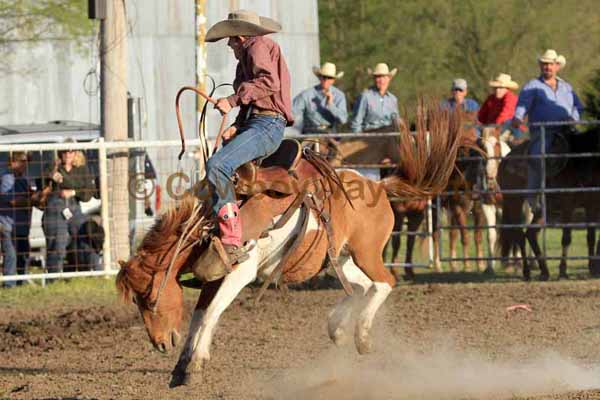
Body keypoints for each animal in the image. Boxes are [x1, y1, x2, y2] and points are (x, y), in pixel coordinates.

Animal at [115, 104, 466, 386]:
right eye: (138, 301)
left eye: (149, 298)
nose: (161, 343)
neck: (208, 221)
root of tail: (377, 185)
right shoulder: (213, 276)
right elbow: (200, 316)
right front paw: (182, 367)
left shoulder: (240, 271)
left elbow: (213, 312)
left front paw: (195, 364)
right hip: (339, 258)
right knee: (361, 287)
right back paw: (338, 327)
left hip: (367, 253)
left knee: (383, 283)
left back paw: (362, 335)